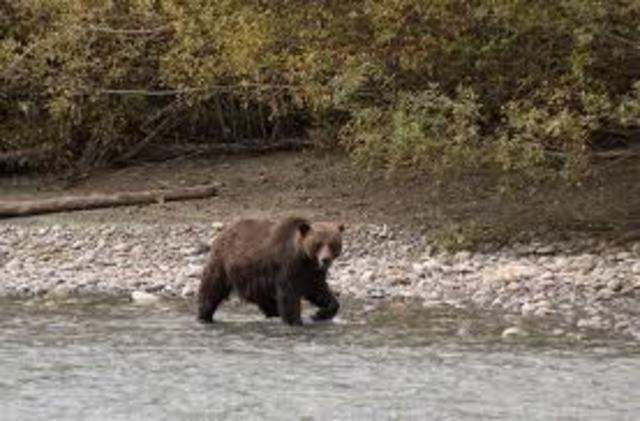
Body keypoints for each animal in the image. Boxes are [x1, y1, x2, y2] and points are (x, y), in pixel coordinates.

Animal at [197, 216, 344, 326]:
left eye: (332, 243)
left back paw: (274, 312)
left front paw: (319, 314)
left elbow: (319, 291)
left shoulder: (311, 273)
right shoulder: (287, 266)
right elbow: (289, 295)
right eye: (318, 243)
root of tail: (223, 232)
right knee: (212, 288)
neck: (304, 257)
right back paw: (204, 316)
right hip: (224, 262)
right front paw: (296, 321)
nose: (325, 259)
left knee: (262, 297)